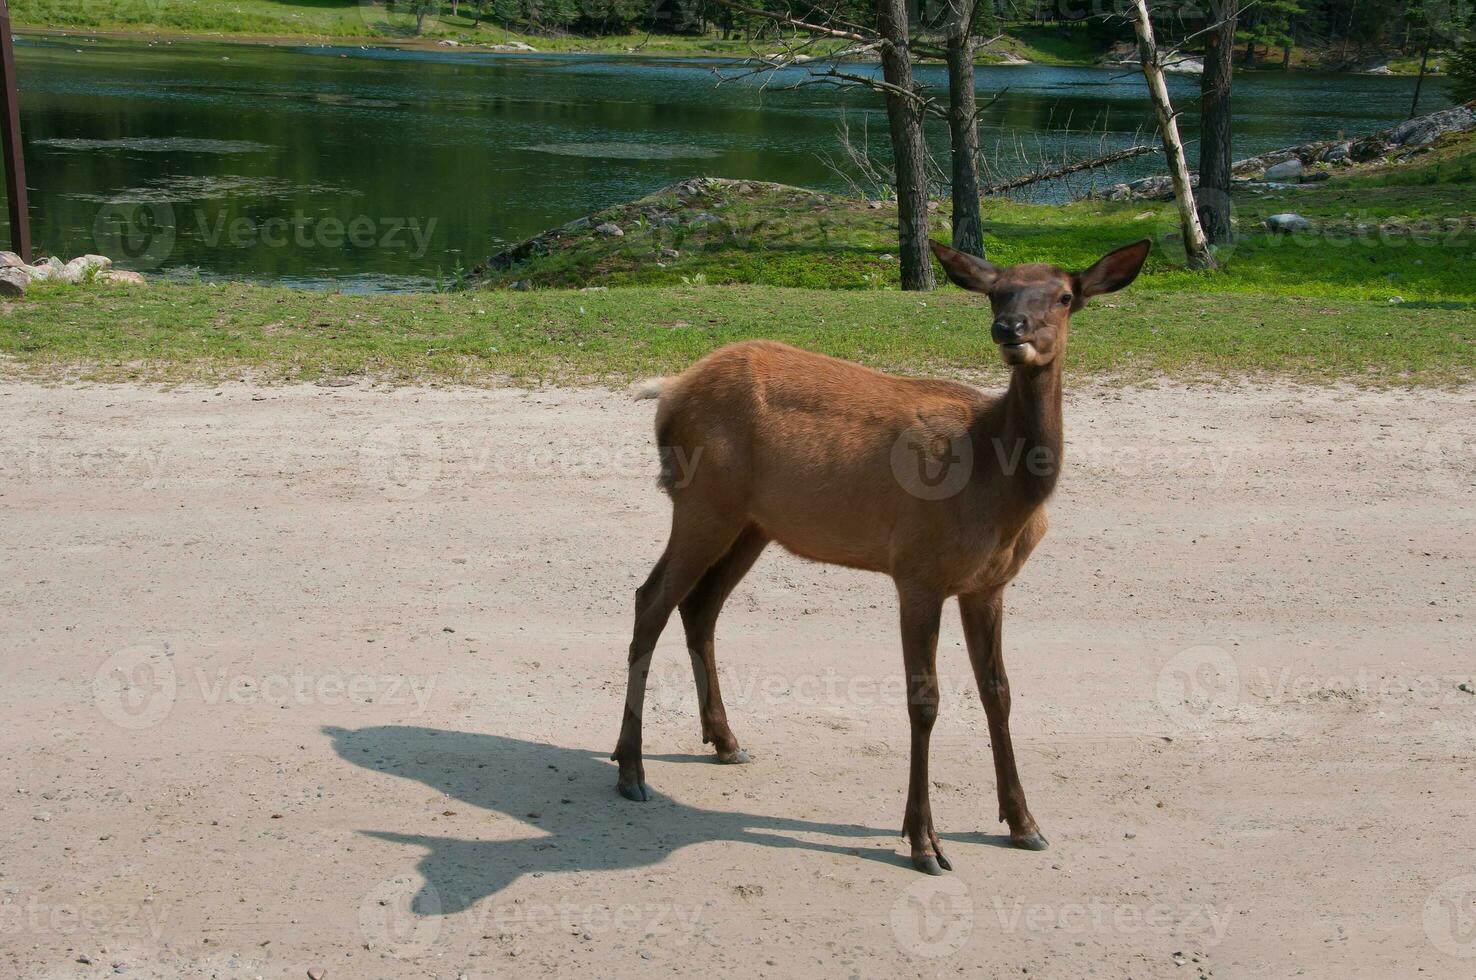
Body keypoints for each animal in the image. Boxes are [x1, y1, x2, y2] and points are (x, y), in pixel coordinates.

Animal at [611, 237, 1151, 873]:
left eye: (1066, 296)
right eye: (997, 292)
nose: (1009, 328)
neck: (999, 491)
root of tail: (668, 392)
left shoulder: (987, 584)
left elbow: (999, 693)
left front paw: (1024, 823)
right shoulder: (917, 569)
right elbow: (925, 700)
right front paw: (923, 842)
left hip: (751, 524)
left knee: (700, 608)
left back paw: (725, 742)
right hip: (702, 504)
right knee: (650, 600)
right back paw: (630, 770)